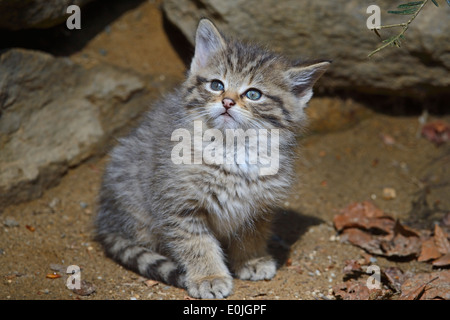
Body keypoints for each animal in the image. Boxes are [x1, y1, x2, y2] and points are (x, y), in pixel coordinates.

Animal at [95, 17, 328, 298]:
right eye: (217, 85)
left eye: (253, 94)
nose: (227, 101)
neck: (233, 148)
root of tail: (105, 219)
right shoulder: (179, 205)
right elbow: (197, 243)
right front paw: (209, 276)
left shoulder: (259, 206)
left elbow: (252, 235)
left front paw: (251, 260)